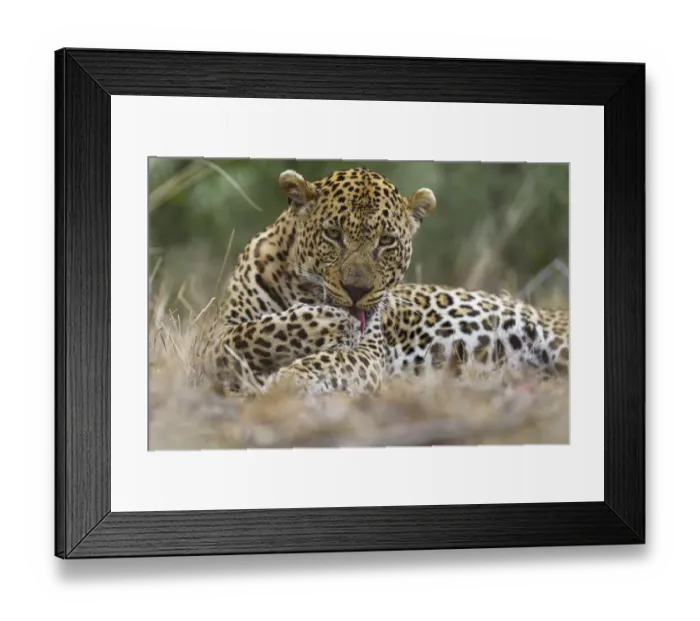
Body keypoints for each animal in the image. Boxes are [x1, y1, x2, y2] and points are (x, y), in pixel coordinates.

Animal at [199, 167, 569, 396]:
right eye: (333, 235)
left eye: (387, 241)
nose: (356, 290)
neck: (300, 289)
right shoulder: (214, 338)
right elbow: (255, 332)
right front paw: (329, 322)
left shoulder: (368, 352)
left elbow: (327, 359)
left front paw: (289, 377)